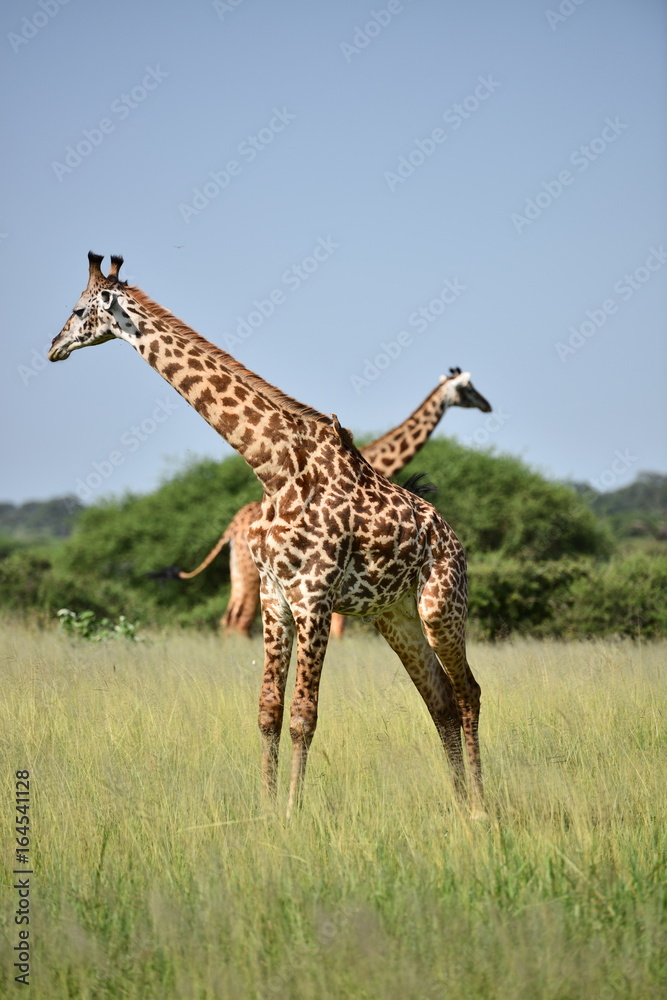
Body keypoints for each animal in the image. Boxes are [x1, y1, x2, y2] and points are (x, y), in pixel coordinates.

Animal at [172, 372, 492, 638]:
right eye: (468, 388)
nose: (487, 405)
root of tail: (230, 529)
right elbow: (340, 625)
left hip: (240, 572)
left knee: (229, 618)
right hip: (254, 573)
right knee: (240, 620)